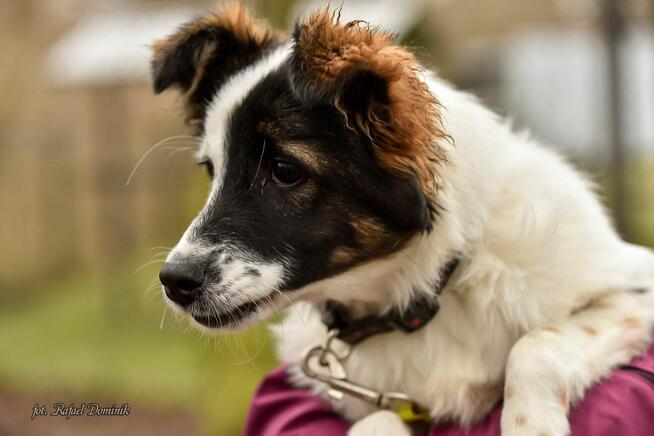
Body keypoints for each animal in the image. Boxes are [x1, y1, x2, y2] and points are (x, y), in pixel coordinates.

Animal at [154, 4, 654, 436]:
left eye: (284, 170)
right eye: (212, 170)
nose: (174, 281)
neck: (425, 292)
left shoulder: (634, 287)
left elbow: (536, 345)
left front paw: (531, 425)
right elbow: (376, 421)